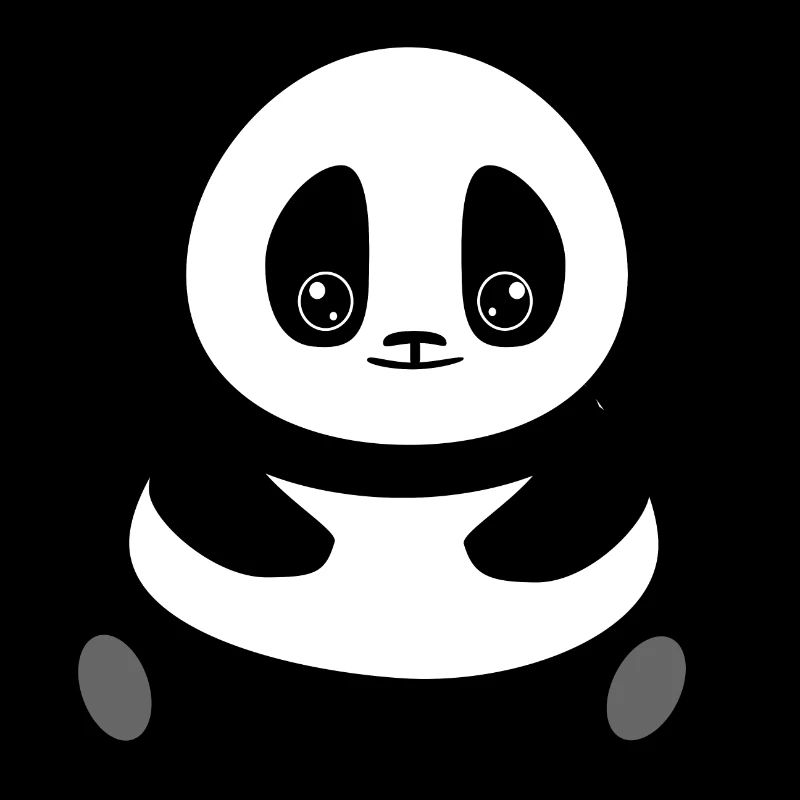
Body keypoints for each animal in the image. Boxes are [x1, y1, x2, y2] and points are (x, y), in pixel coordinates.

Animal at [76, 47, 687, 754]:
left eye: (508, 297)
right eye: (322, 298)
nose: (414, 342)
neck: (404, 453)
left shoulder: (573, 433)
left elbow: (593, 483)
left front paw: (499, 549)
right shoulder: (228, 426)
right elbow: (204, 475)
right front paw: (296, 547)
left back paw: (644, 687)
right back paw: (119, 688)